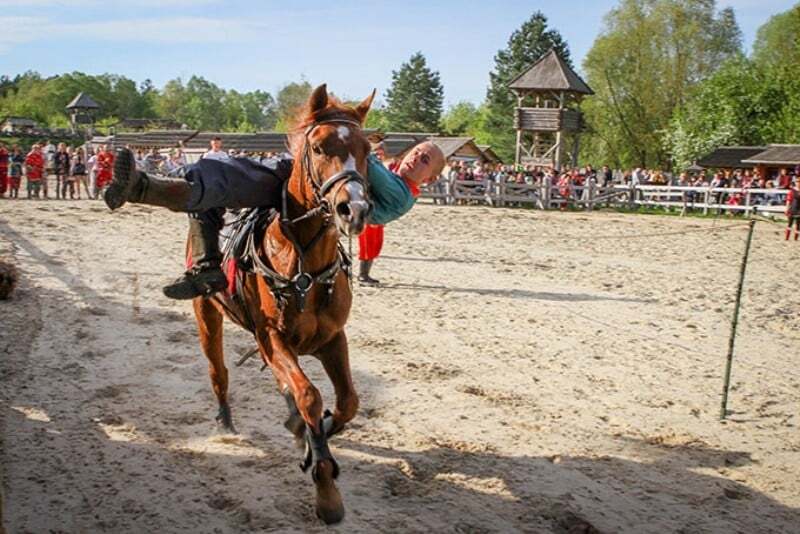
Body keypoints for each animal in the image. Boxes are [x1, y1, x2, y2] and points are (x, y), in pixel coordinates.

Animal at [197, 86, 376, 524]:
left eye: (367, 149)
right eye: (319, 145)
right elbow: (310, 396)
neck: (304, 267)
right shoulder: (272, 338)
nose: (354, 209)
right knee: (218, 372)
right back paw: (225, 420)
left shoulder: (333, 339)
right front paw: (326, 489)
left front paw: (319, 432)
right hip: (207, 315)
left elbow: (347, 402)